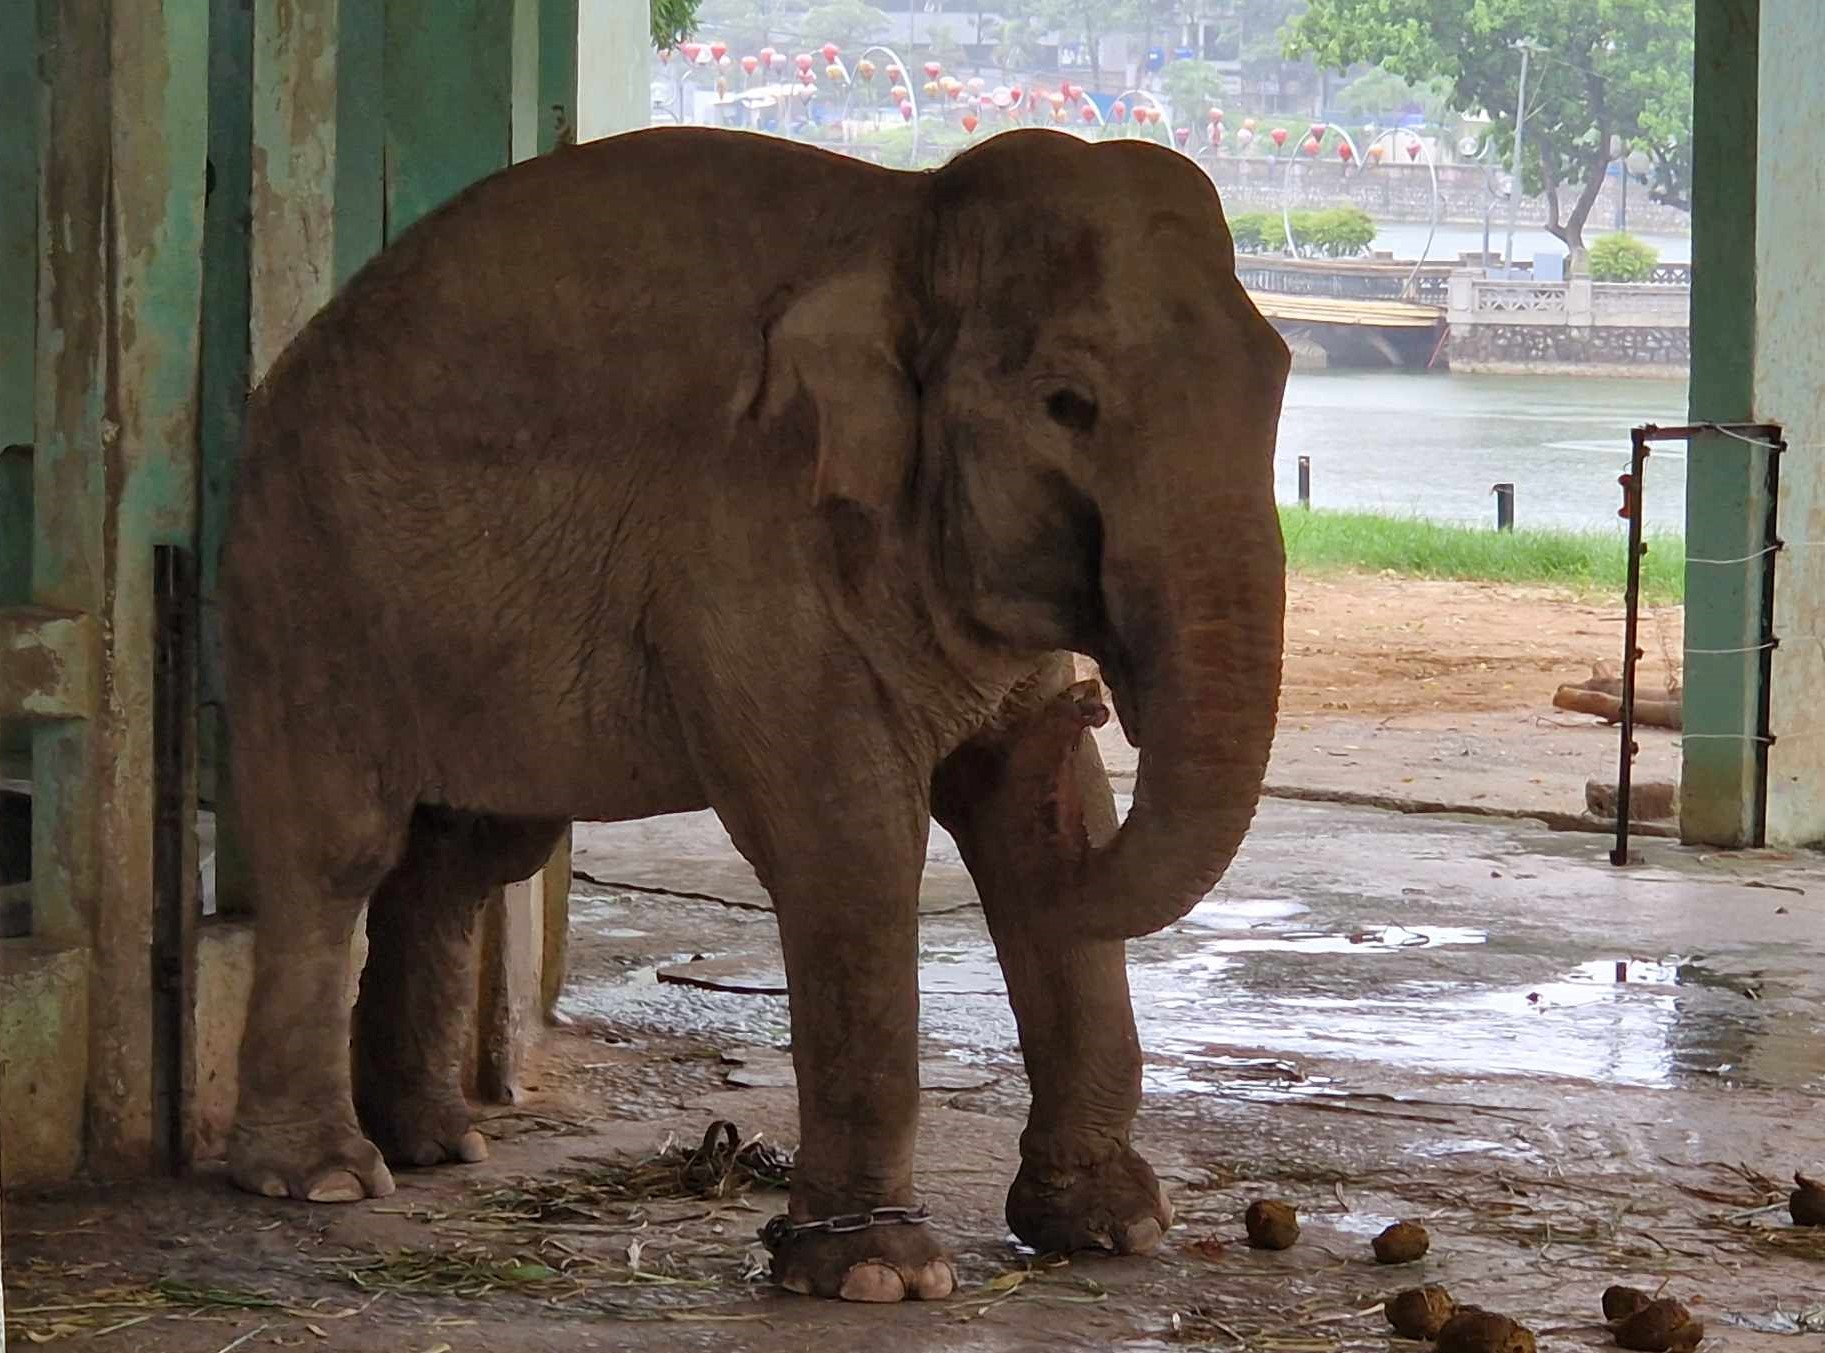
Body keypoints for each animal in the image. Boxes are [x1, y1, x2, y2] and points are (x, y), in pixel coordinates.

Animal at [220, 124, 1292, 1300]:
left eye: (1279, 376)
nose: (1096, 704)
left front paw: (1109, 1231)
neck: (906, 224)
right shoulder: (752, 536)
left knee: (467, 857)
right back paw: (321, 1177)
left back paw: (436, 1144)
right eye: (1066, 404)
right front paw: (878, 1278)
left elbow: (1030, 825)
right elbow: (848, 841)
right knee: (339, 850)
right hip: (305, 575)